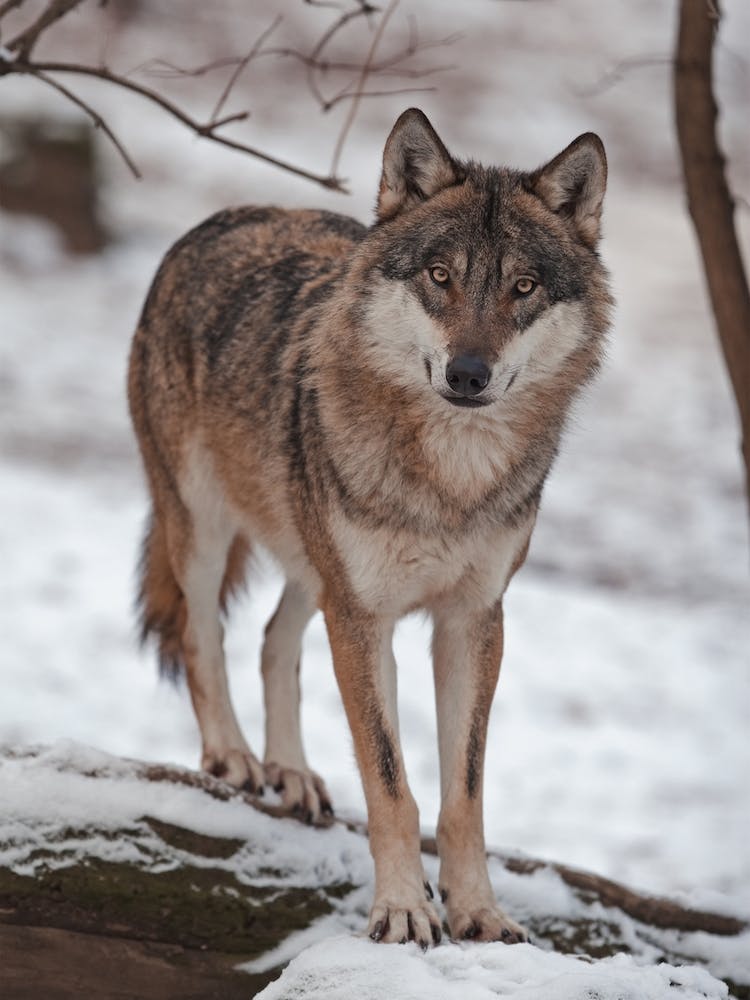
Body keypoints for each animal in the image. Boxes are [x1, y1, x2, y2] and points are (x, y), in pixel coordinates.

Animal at [128, 108, 611, 947]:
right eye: (440, 276)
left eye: (522, 287)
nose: (468, 374)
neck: (452, 477)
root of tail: (219, 219)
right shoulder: (365, 617)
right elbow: (392, 783)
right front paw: (404, 910)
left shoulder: (471, 619)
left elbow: (464, 794)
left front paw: (479, 911)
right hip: (205, 528)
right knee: (202, 634)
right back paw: (233, 756)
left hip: (312, 561)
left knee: (274, 639)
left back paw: (290, 771)